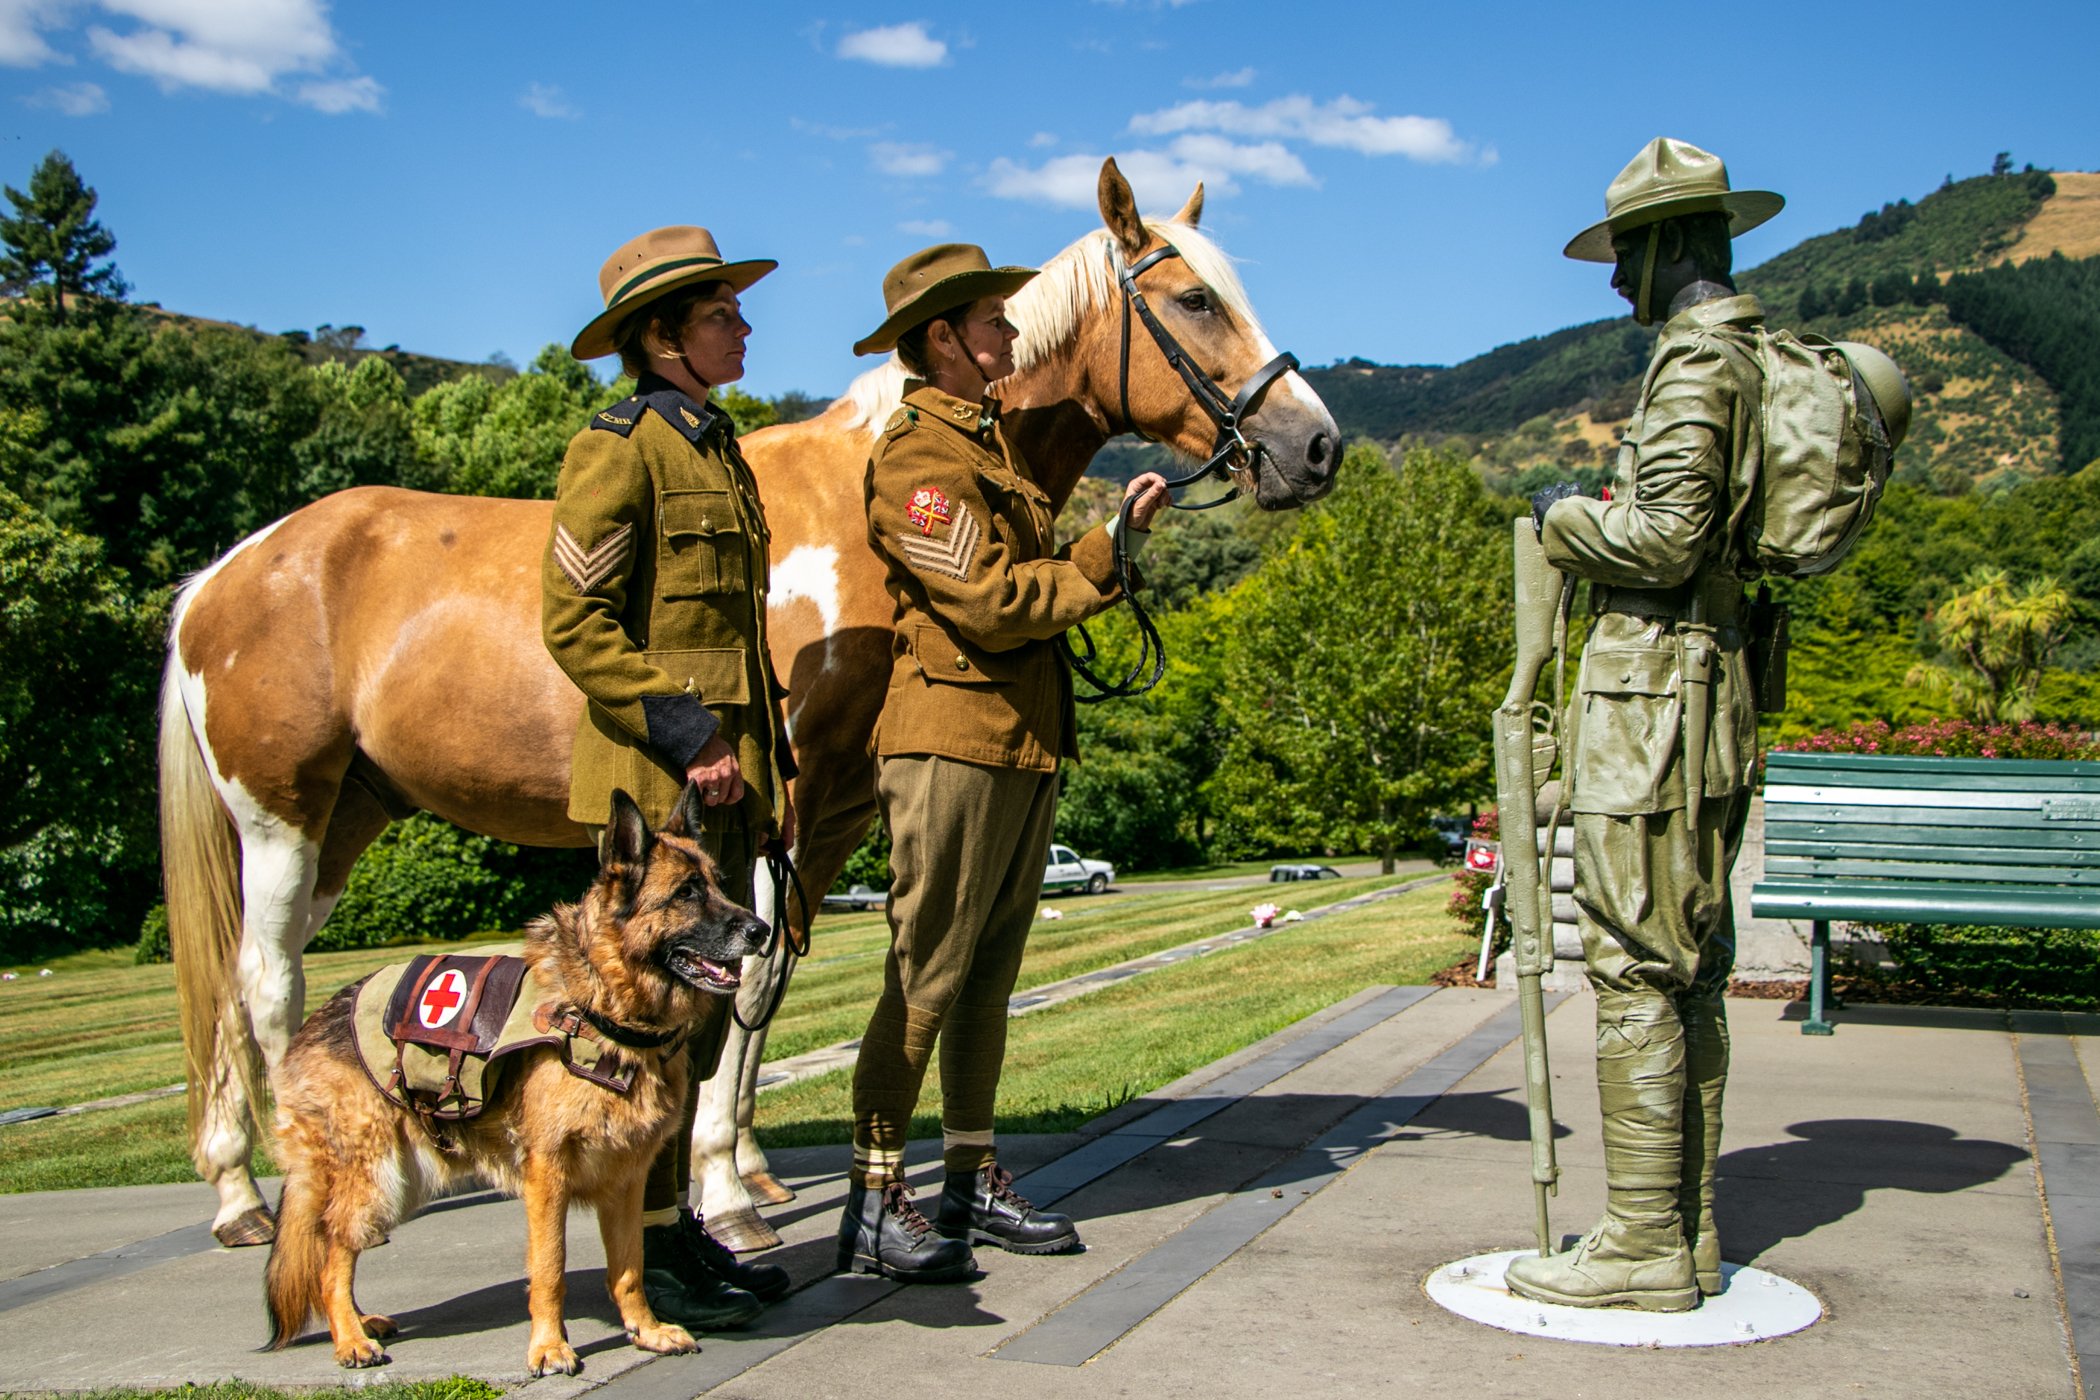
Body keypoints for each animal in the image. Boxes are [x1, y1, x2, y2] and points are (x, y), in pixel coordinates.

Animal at [168, 161, 1344, 1250]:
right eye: (1194, 300)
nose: (1316, 445)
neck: (869, 495)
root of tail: (225, 572)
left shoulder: (827, 813)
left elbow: (766, 976)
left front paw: (737, 1167)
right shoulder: (780, 797)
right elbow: (747, 972)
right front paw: (721, 1192)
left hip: (344, 820)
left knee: (230, 985)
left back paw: (235, 1193)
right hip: (281, 820)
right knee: (266, 986)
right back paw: (283, 1188)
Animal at [261, 789, 768, 1376]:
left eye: (719, 884)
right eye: (686, 893)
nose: (762, 930)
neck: (602, 1007)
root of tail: (315, 1021)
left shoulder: (626, 1178)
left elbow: (630, 1267)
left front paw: (645, 1331)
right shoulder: (547, 1175)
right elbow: (550, 1266)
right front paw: (549, 1347)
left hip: (401, 1182)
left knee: (332, 1243)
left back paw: (362, 1323)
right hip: (376, 1177)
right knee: (333, 1253)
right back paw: (351, 1339)